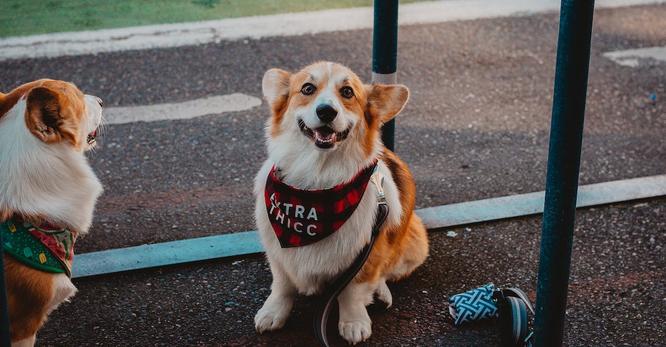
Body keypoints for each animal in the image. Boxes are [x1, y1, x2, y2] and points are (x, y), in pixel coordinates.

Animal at [252, 62, 428, 346]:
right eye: (307, 88)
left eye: (347, 92)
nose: (326, 111)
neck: (316, 183)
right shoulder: (277, 252)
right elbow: (282, 285)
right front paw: (272, 313)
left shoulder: (367, 251)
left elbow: (352, 291)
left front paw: (354, 323)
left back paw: (381, 293)